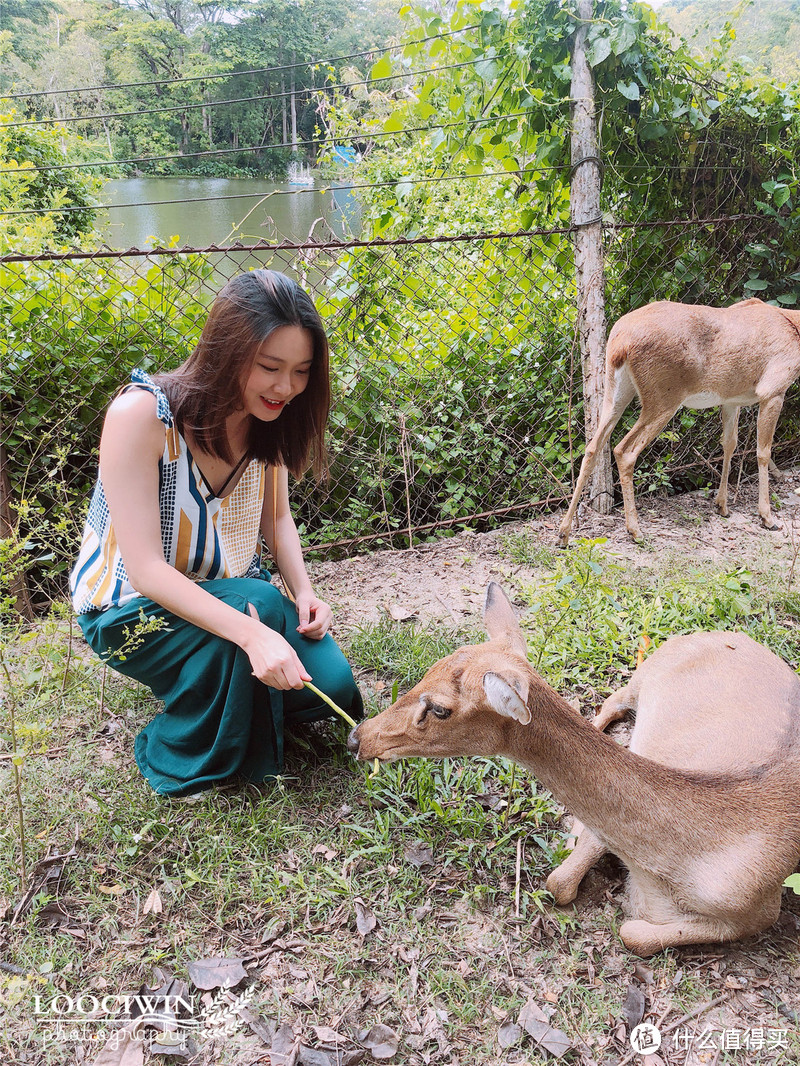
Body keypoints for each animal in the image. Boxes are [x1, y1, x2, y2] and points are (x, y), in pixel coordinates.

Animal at [347, 584, 800, 959]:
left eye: (440, 708)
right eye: (428, 669)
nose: (358, 737)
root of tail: (723, 634)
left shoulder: (761, 909)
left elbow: (631, 933)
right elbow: (559, 881)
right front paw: (573, 835)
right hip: (646, 671)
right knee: (612, 700)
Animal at [554, 300, 800, 550]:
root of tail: (620, 341)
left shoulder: (731, 399)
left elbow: (729, 444)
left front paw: (722, 505)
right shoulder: (773, 389)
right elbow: (763, 452)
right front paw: (767, 517)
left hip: (616, 390)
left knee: (593, 447)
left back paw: (564, 534)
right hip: (663, 398)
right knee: (624, 450)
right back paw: (635, 531)